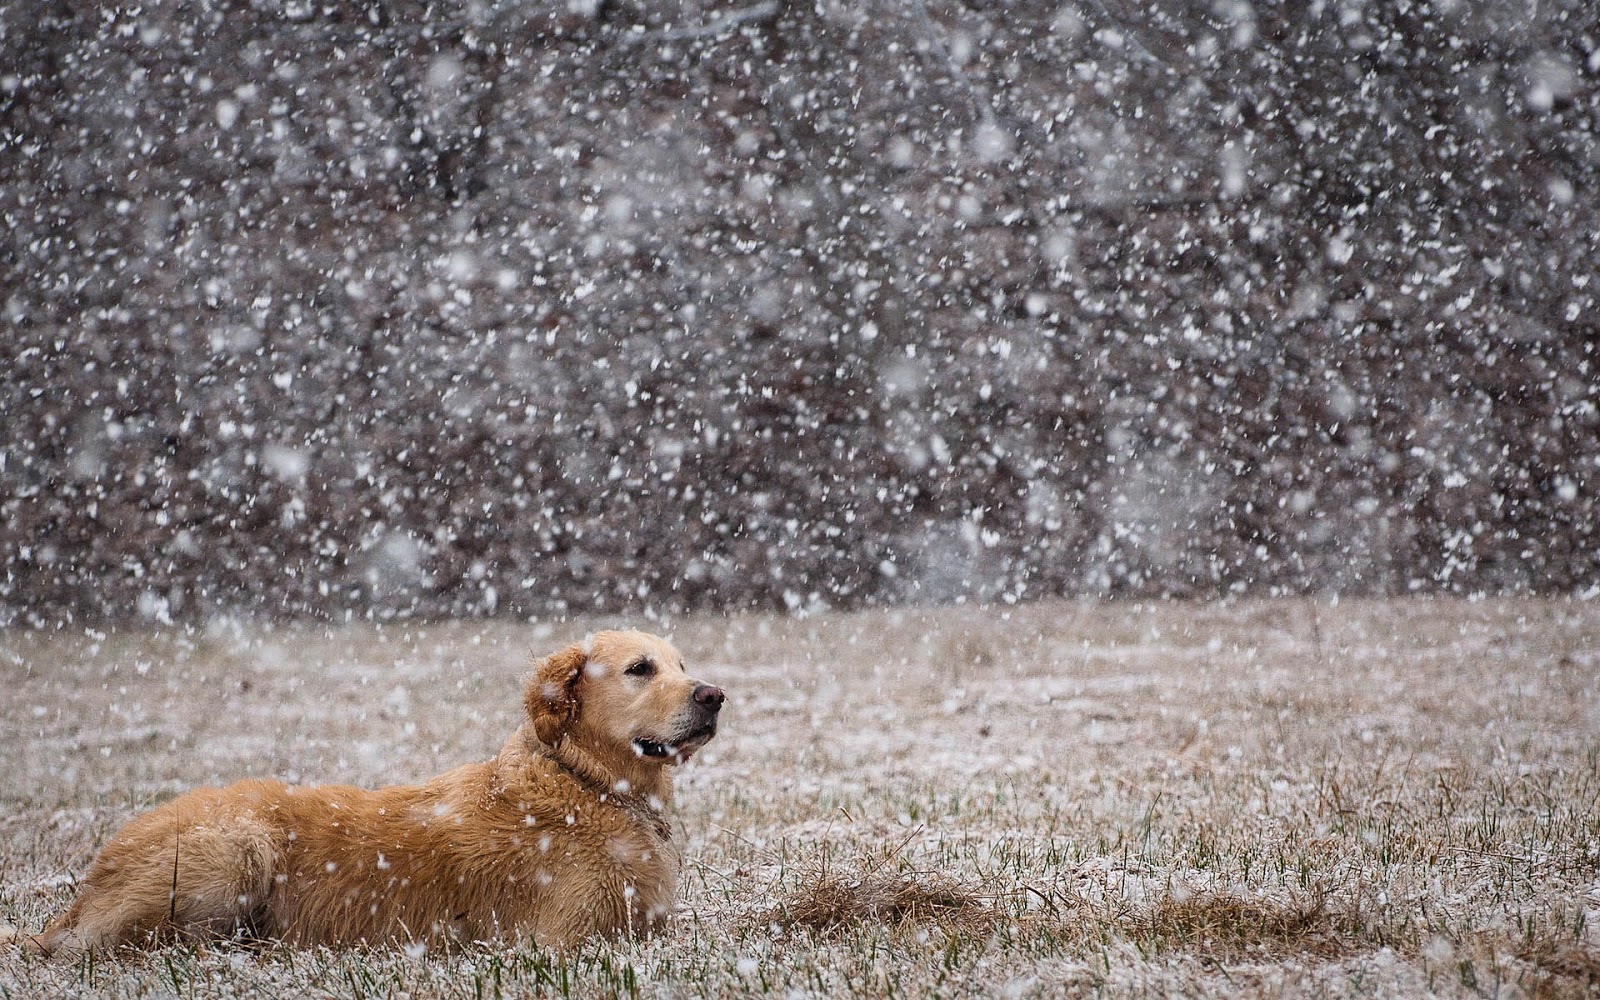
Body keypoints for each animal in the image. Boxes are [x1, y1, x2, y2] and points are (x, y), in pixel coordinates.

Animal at [23, 630, 726, 953]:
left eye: (682, 665)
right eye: (640, 669)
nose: (714, 695)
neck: (588, 783)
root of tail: (90, 883)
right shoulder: (562, 939)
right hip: (234, 849)